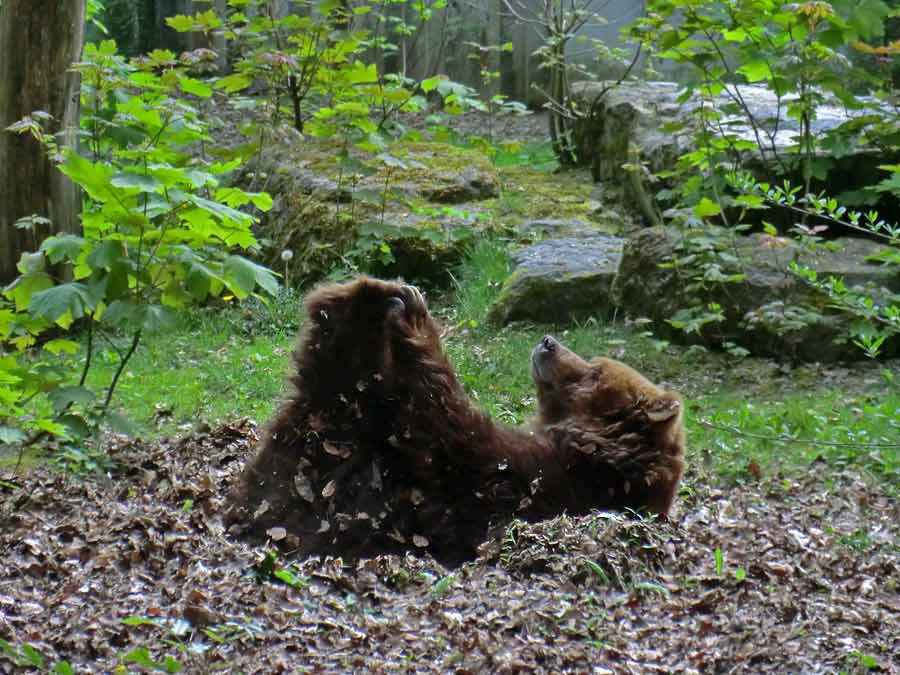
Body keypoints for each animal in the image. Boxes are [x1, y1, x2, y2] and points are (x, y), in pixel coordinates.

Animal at [229, 278, 684, 564]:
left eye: (595, 372)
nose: (548, 342)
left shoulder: (530, 482)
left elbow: (445, 430)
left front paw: (416, 323)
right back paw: (366, 296)